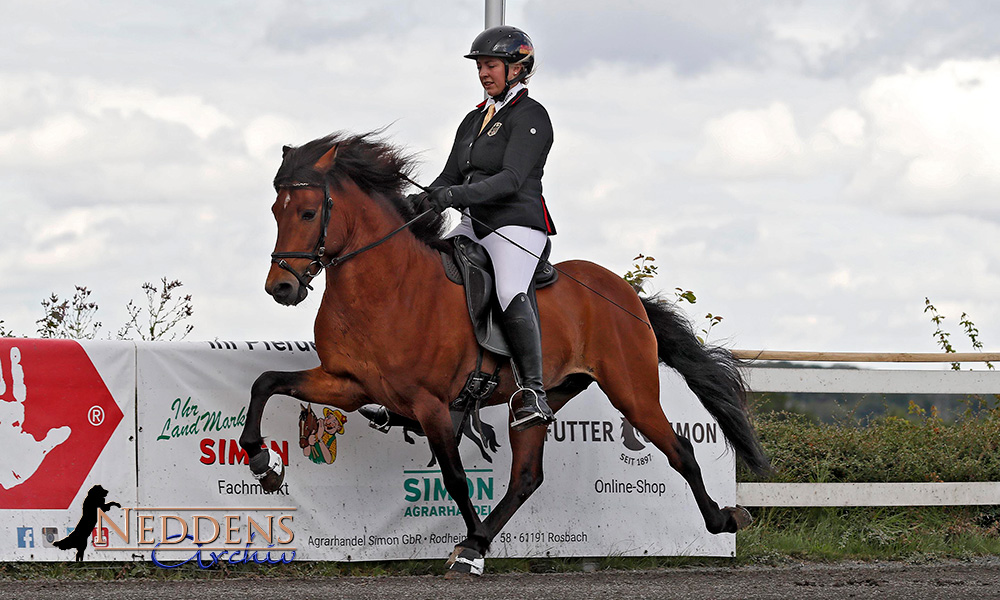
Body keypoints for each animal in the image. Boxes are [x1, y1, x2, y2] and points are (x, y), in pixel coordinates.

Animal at [238, 131, 768, 576]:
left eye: (308, 213)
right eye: (275, 211)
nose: (281, 288)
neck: (386, 288)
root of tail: (626, 293)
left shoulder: (432, 404)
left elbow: (454, 476)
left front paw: (469, 541)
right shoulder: (347, 384)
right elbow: (265, 382)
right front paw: (264, 463)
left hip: (631, 390)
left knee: (680, 450)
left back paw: (724, 519)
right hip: (543, 399)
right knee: (527, 476)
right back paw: (478, 542)